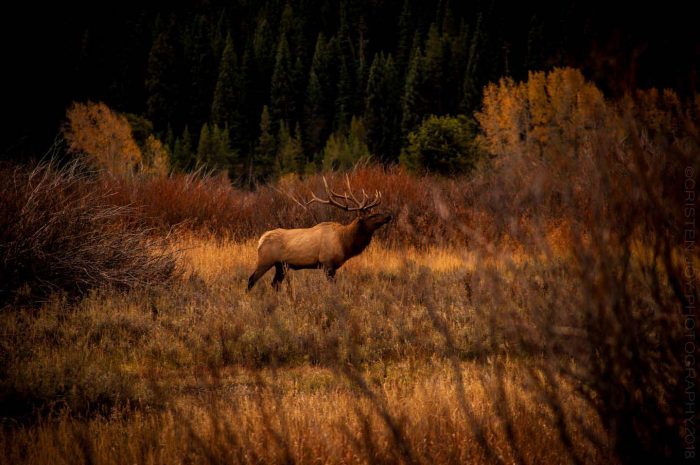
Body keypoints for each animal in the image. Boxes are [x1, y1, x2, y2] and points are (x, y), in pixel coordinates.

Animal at [246, 176, 392, 288]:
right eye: (371, 216)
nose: (389, 215)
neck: (345, 243)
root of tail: (260, 240)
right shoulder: (327, 263)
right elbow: (333, 287)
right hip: (265, 260)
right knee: (251, 279)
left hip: (281, 265)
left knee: (274, 284)